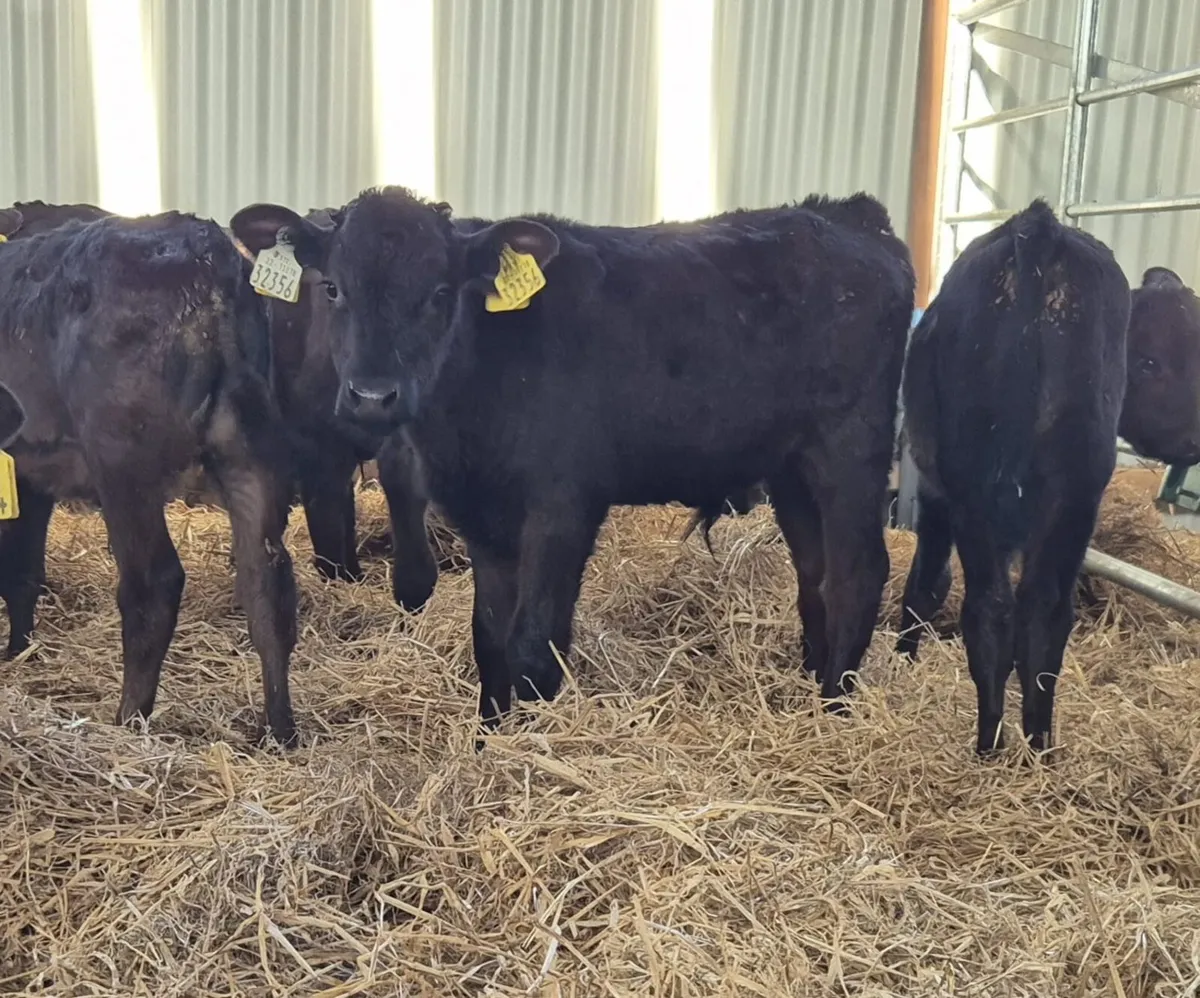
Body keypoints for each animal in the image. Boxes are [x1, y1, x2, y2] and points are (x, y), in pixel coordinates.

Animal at [0, 207, 299, 746]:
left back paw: (127, 721)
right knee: (267, 582)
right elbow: (22, 569)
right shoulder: (31, 473)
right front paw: (20, 652)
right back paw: (280, 731)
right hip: (251, 450)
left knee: (153, 583)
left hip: (124, 464)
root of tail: (204, 247)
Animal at [231, 187, 916, 731]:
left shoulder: (563, 507)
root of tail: (850, 216)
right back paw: (812, 690)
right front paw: (488, 741)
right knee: (815, 577)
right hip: (791, 465)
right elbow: (490, 639)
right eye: (333, 288)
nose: (373, 395)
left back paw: (835, 711)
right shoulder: (483, 516)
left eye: (440, 292)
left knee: (859, 573)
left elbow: (535, 645)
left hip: (851, 447)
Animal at [895, 199, 1130, 757]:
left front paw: (903, 656)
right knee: (1044, 613)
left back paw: (989, 745)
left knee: (990, 610)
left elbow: (926, 582)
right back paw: (1038, 748)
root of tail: (1037, 228)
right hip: (1077, 489)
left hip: (978, 489)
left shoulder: (938, 498)